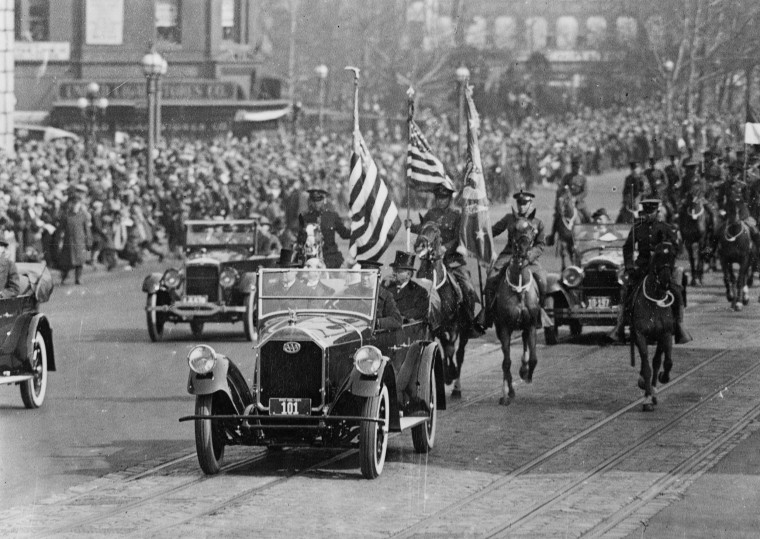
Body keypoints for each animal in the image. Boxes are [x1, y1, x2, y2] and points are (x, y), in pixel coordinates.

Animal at [412, 221, 472, 398]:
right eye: (421, 229)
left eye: (436, 233)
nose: (419, 245)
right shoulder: (433, 327)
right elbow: (443, 346)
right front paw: (446, 372)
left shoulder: (451, 325)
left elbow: (450, 349)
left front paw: (450, 373)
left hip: (464, 330)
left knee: (459, 354)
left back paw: (456, 387)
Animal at [492, 220, 540, 404]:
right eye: (512, 229)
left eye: (533, 230)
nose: (523, 251)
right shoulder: (504, 328)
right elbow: (506, 362)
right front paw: (507, 393)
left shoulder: (531, 325)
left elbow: (533, 358)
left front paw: (527, 375)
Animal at [628, 243, 676, 412]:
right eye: (657, 255)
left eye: (673, 256)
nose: (666, 282)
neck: (654, 303)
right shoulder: (640, 335)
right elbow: (647, 366)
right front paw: (646, 399)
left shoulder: (666, 334)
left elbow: (666, 362)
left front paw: (664, 377)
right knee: (647, 364)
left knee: (656, 361)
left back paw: (654, 391)